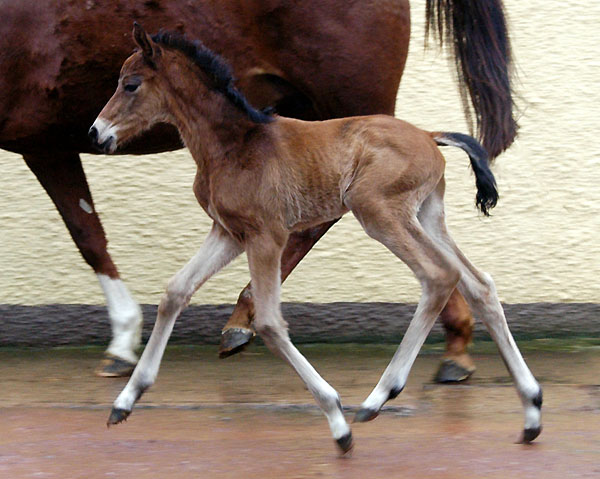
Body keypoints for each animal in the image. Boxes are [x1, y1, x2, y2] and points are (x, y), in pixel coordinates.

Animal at [90, 26, 544, 454]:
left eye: (130, 84)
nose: (97, 133)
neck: (233, 144)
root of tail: (430, 135)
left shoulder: (266, 235)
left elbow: (269, 322)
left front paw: (336, 421)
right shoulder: (229, 233)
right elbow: (175, 293)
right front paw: (124, 401)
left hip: (378, 210)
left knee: (438, 277)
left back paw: (379, 398)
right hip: (426, 217)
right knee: (478, 284)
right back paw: (531, 411)